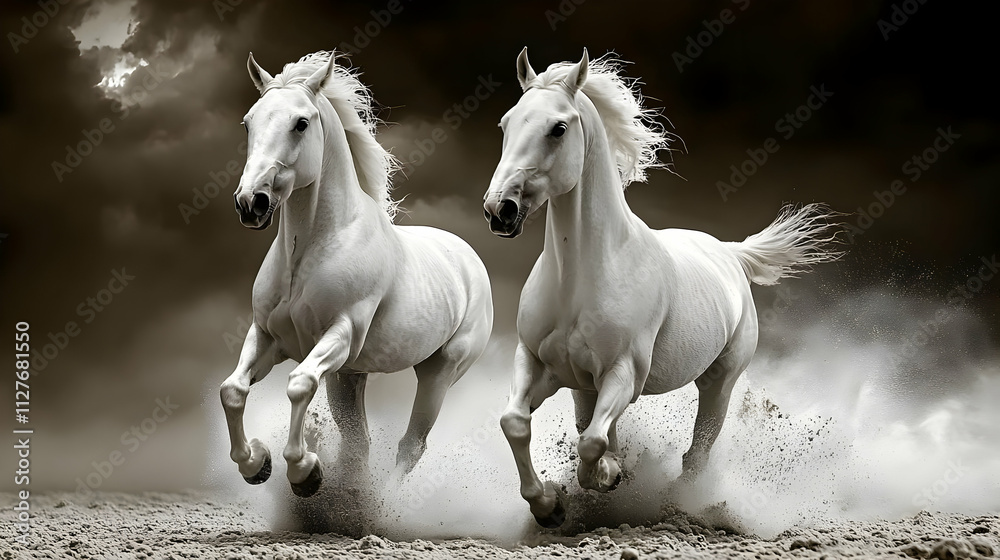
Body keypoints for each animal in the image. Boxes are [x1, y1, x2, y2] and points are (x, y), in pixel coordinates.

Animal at [220, 51, 493, 498]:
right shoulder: (268, 337)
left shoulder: (341, 333)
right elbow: (233, 389)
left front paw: (305, 473)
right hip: (349, 378)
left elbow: (299, 383)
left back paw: (382, 504)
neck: (306, 255)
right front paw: (256, 464)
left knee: (411, 445)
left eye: (301, 123)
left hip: (439, 371)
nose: (250, 202)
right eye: (248, 121)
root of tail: (469, 257)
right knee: (358, 443)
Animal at [483, 48, 842, 527]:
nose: (499, 210)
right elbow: (517, 424)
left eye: (558, 128)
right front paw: (550, 507)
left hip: (719, 381)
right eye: (506, 124)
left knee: (697, 453)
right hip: (584, 385)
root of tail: (731, 254)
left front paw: (607, 476)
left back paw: (680, 502)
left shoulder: (624, 374)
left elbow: (592, 444)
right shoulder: (539, 363)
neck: (581, 278)